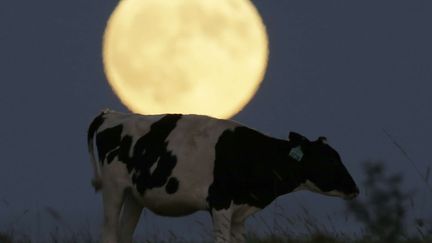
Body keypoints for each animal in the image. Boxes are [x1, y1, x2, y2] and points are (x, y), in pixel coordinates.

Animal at [87, 110, 358, 243]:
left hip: (135, 196)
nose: (354, 188)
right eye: (329, 160)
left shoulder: (240, 212)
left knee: (124, 234)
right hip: (113, 189)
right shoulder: (220, 203)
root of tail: (112, 114)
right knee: (109, 233)